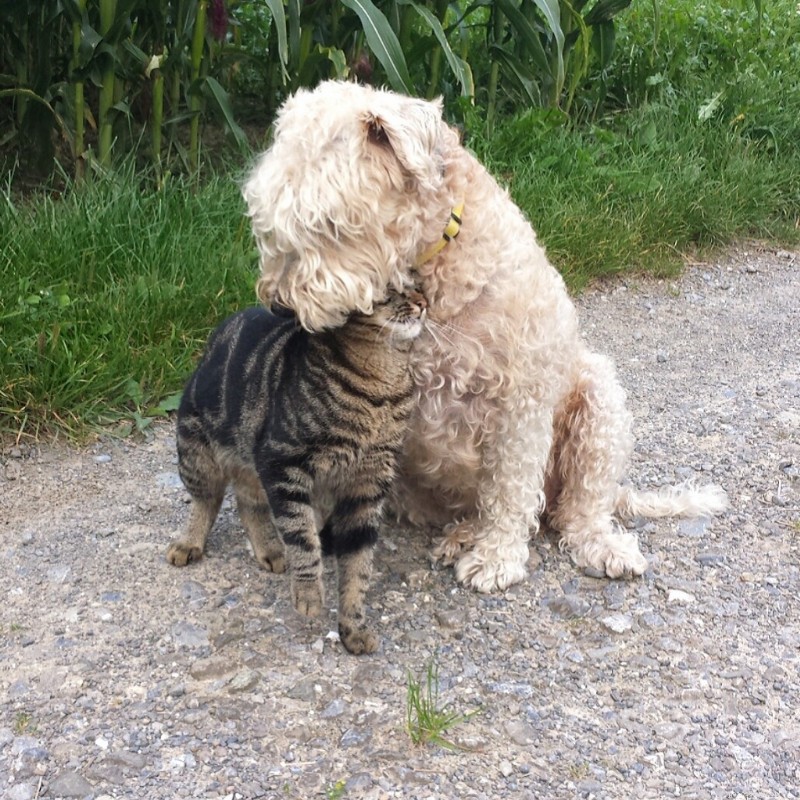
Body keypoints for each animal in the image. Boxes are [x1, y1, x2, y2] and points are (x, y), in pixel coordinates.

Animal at [166, 290, 428, 652]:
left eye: (417, 283)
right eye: (390, 288)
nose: (423, 302)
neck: (382, 381)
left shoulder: (370, 482)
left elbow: (358, 564)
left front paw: (354, 625)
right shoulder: (283, 463)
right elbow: (302, 536)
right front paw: (308, 591)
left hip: (254, 469)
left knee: (248, 504)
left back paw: (270, 549)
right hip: (198, 451)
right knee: (208, 500)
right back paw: (189, 542)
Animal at [241, 79, 728, 592]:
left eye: (328, 224)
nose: (279, 304)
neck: (437, 271)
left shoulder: (520, 402)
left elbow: (510, 489)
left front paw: (497, 558)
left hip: (598, 402)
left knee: (577, 508)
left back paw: (597, 545)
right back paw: (461, 535)